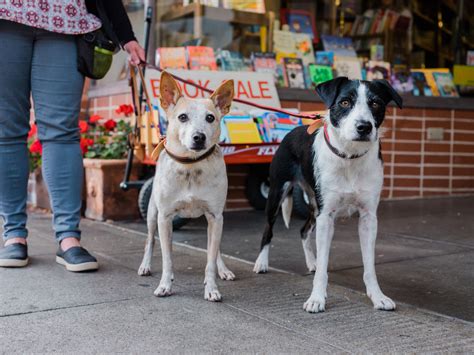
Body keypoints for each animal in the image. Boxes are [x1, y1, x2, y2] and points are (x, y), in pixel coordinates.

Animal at [140, 72, 236, 304]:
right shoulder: (164, 218)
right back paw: (145, 265)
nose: (199, 137)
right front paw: (165, 285)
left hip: (216, 220)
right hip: (152, 215)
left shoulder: (215, 217)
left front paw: (212, 288)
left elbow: (210, 259)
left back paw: (223, 269)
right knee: (150, 240)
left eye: (210, 118)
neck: (191, 166)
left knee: (215, 249)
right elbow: (167, 258)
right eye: (182, 117)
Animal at [254, 78, 402, 314]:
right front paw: (316, 298)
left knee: (303, 231)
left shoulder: (368, 218)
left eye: (376, 103)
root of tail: (292, 130)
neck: (350, 155)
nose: (364, 127)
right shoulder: (326, 218)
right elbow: (324, 265)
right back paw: (262, 263)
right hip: (277, 195)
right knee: (268, 231)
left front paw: (377, 297)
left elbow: (369, 265)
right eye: (344, 102)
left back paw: (311, 262)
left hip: (314, 205)